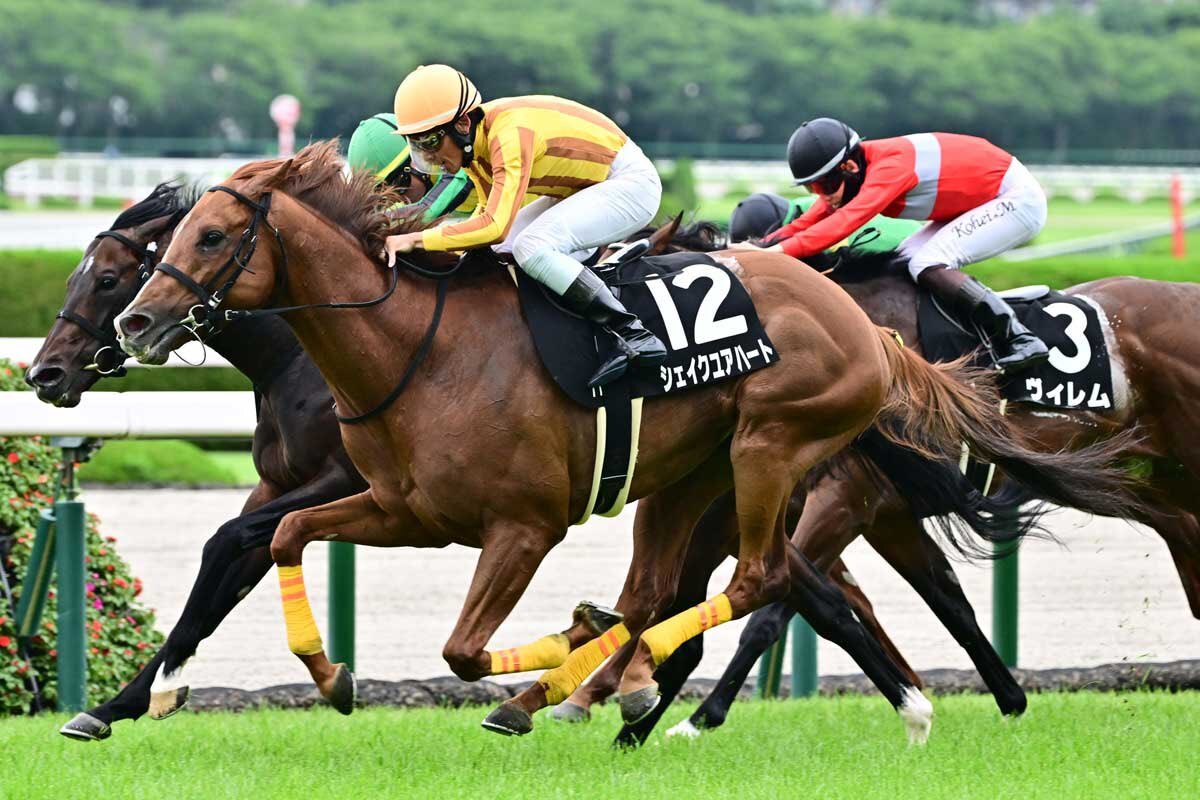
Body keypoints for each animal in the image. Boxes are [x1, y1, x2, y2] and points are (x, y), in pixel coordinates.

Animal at [113, 141, 1146, 741]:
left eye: (211, 238)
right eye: (171, 238)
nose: (134, 323)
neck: (418, 351)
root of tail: (864, 325)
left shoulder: (523, 526)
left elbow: (461, 649)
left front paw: (576, 659)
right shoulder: (405, 510)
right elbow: (287, 535)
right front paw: (328, 677)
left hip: (770, 450)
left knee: (754, 583)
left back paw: (614, 688)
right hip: (690, 478)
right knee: (696, 587)